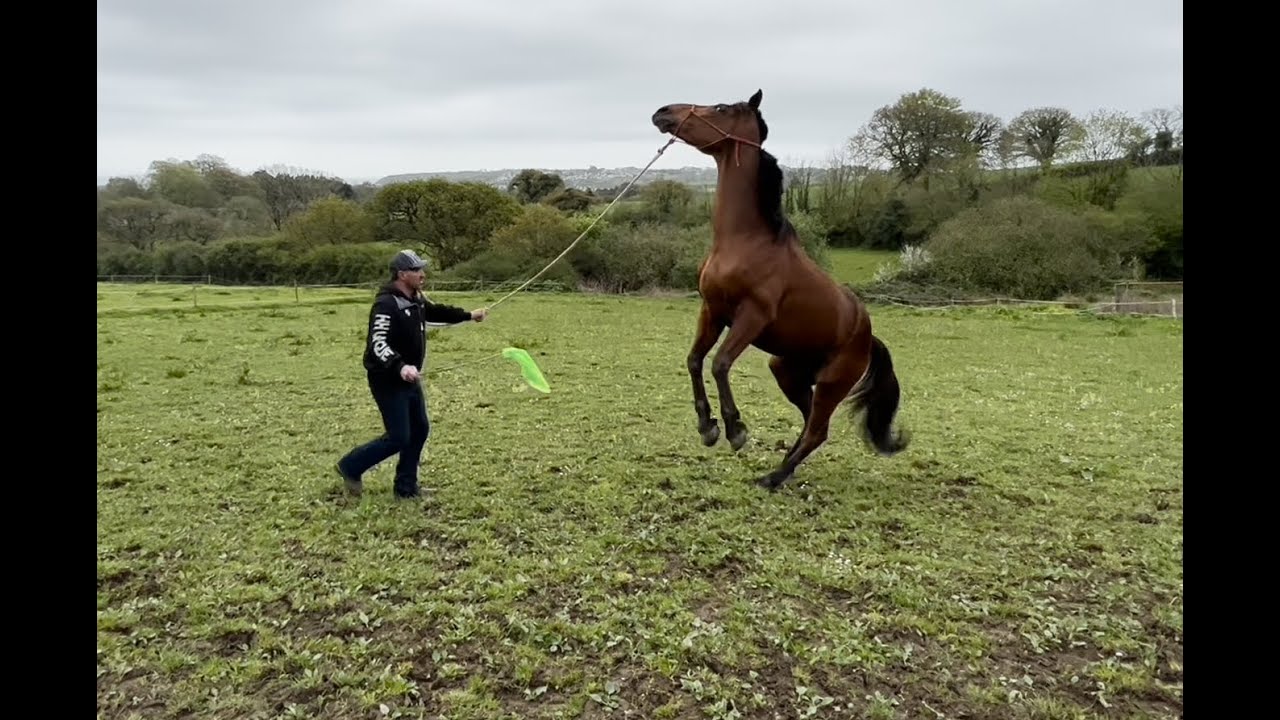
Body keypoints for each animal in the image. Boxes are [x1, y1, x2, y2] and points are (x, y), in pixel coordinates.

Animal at [650, 89, 909, 491]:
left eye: (720, 108)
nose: (663, 112)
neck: (746, 242)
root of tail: (868, 337)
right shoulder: (712, 310)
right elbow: (694, 361)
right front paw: (707, 427)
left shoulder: (752, 316)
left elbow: (720, 364)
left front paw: (735, 430)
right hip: (787, 370)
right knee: (809, 422)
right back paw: (782, 468)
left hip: (832, 383)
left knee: (818, 430)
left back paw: (773, 477)